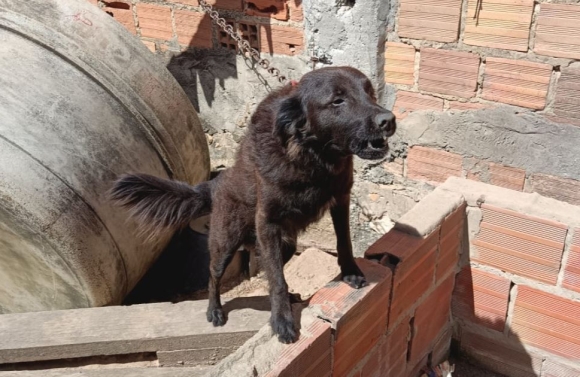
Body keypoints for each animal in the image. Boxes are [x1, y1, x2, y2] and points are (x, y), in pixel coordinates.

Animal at [110, 66, 394, 342]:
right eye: (337, 100)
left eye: (370, 93)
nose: (388, 120)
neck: (312, 159)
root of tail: (216, 184)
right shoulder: (267, 221)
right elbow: (277, 280)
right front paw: (282, 320)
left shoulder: (340, 199)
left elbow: (343, 242)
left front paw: (350, 272)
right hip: (225, 243)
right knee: (214, 276)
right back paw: (215, 310)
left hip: (284, 245)